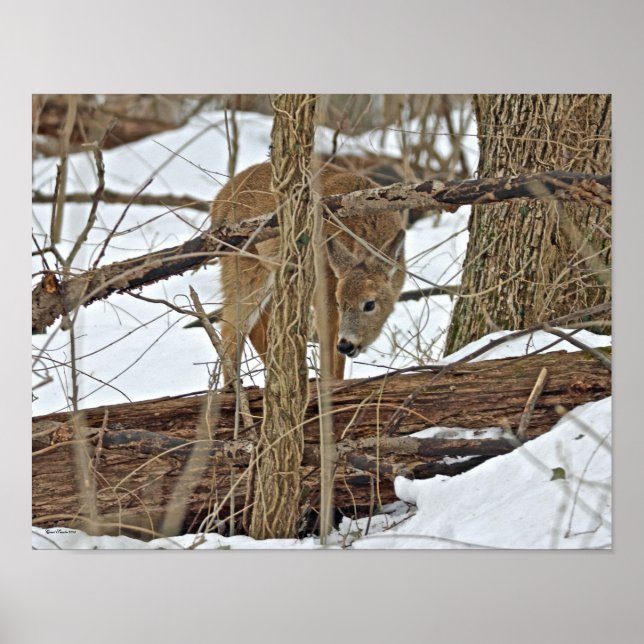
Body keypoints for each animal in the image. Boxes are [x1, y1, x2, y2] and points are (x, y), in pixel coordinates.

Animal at [210, 161, 406, 382]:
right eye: (340, 302)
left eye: (370, 304)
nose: (347, 345)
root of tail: (217, 201)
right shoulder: (323, 291)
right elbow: (328, 346)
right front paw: (330, 384)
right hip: (242, 266)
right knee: (231, 328)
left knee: (258, 329)